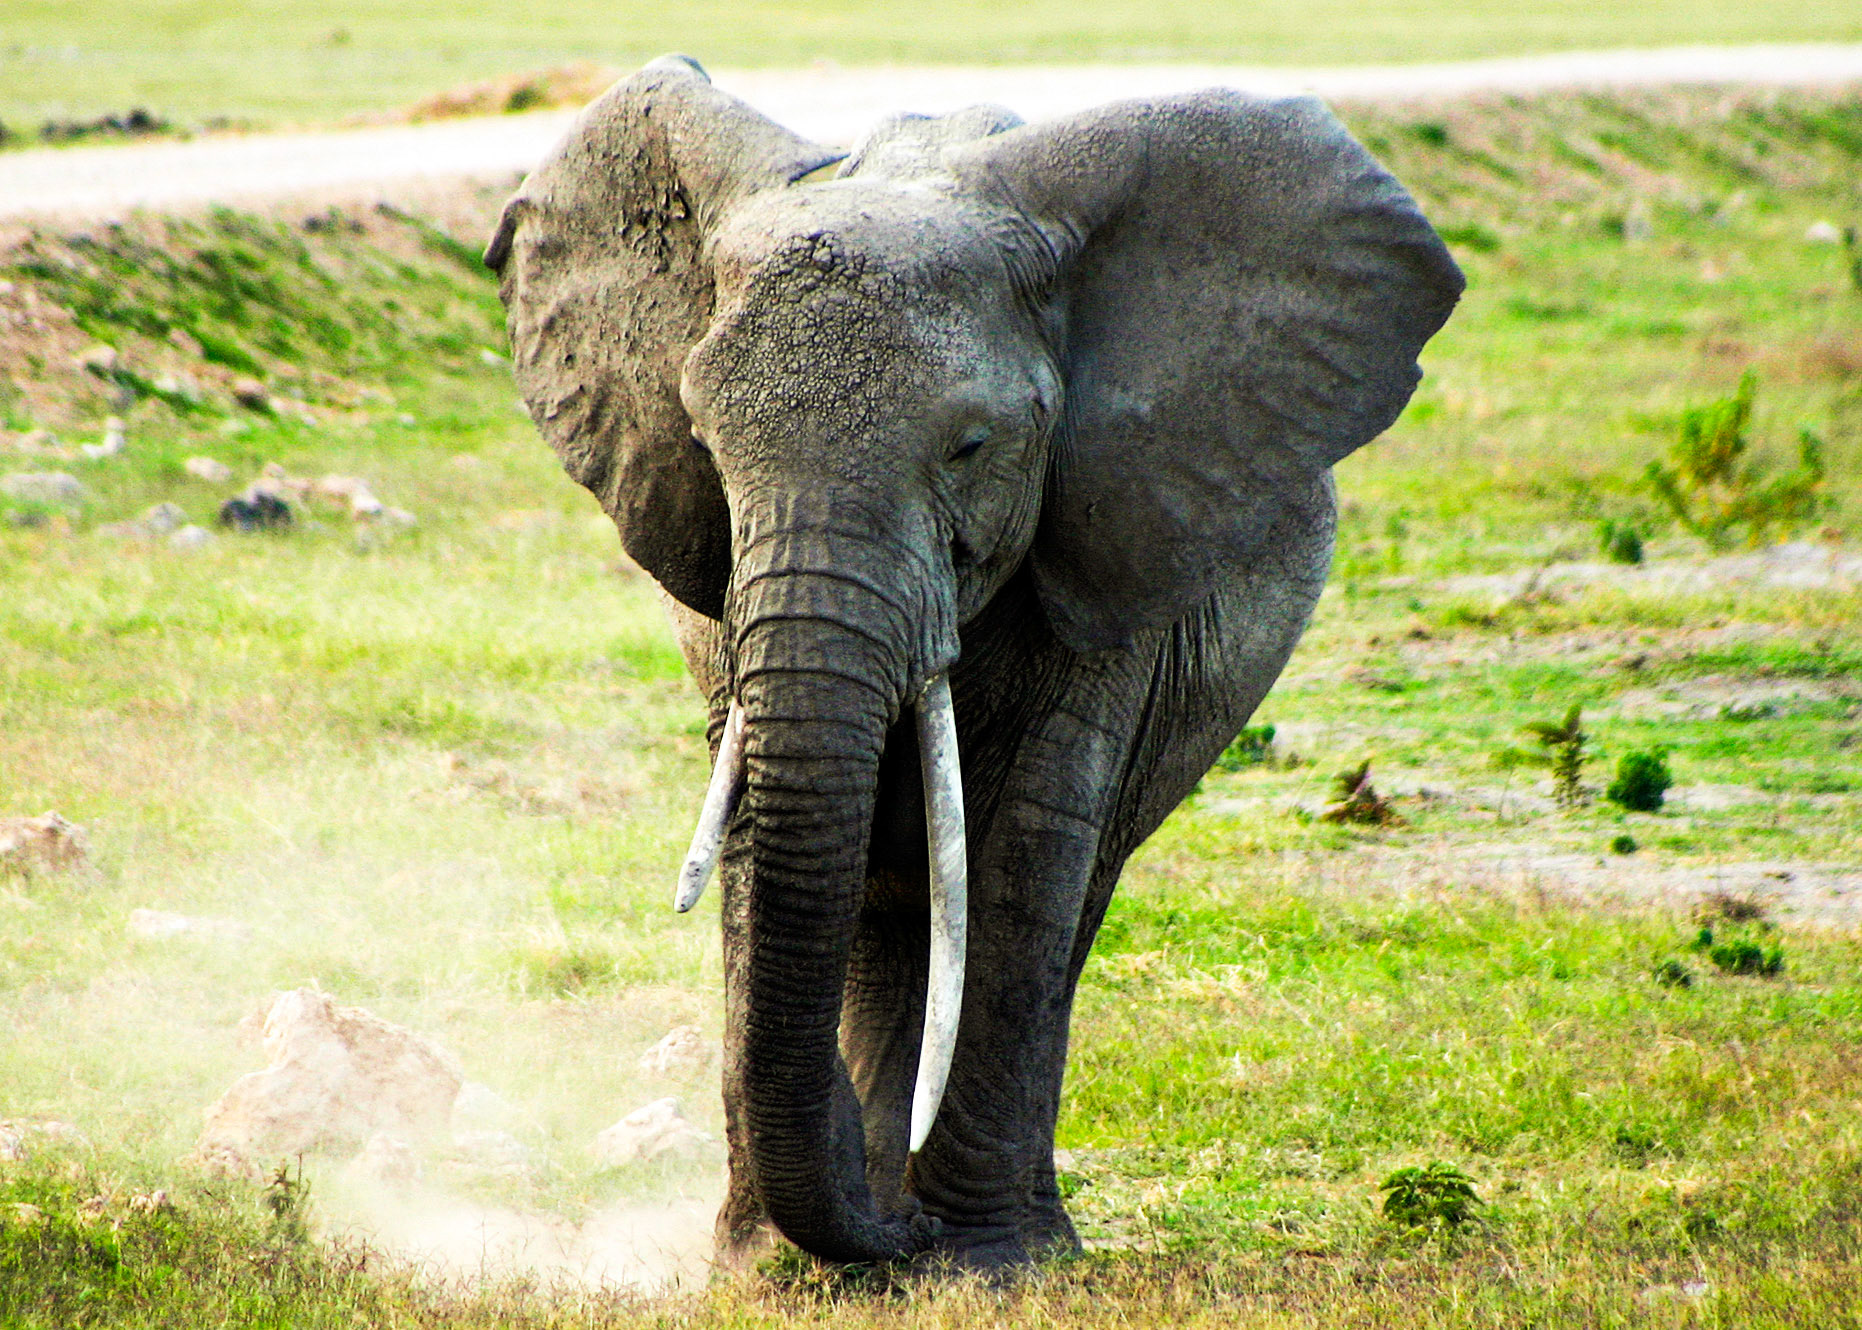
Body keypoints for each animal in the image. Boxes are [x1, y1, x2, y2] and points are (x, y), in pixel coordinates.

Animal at [486, 54, 1462, 1271]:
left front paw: (987, 1265)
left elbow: (1031, 841)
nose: (888, 1238)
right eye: (706, 446)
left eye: (970, 448)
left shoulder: (1117, 538)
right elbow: (763, 824)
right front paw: (770, 1268)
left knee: (1062, 893)